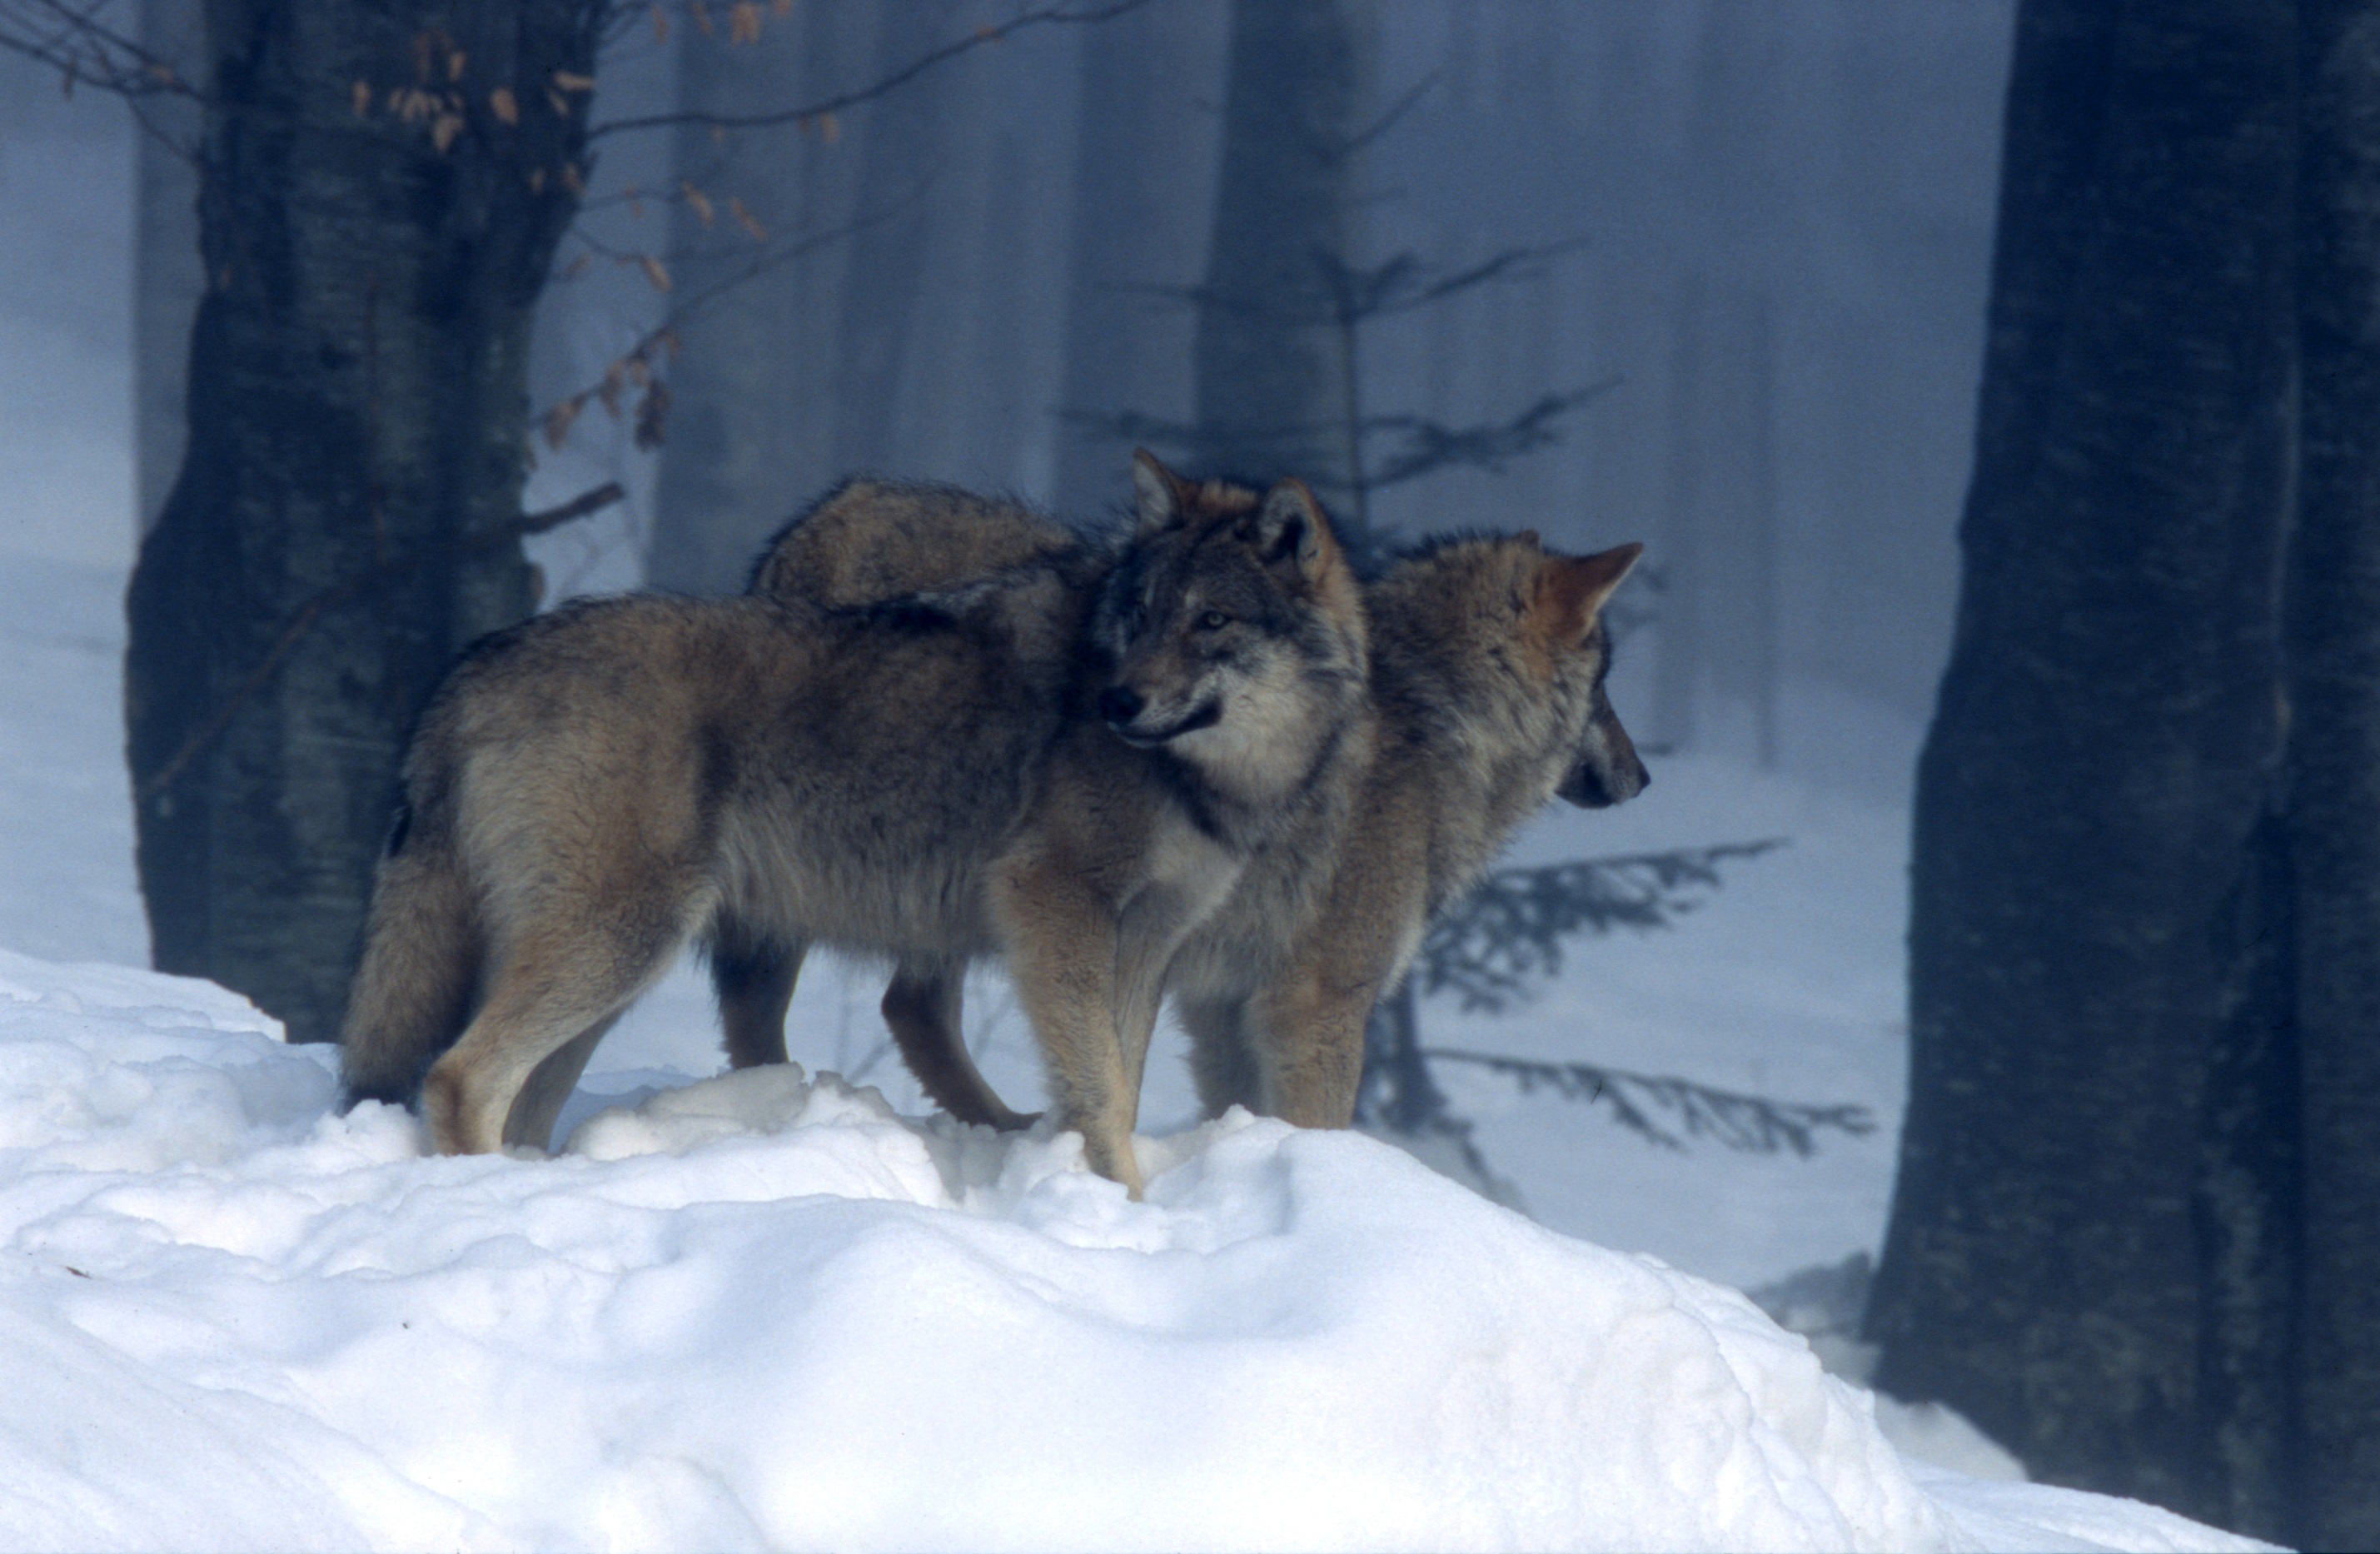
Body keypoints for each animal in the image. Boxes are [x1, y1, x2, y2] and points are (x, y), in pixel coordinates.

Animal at [342, 454, 1371, 1194]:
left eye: (1213, 621)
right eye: (1144, 613)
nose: (1118, 701)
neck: (1211, 780)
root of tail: (475, 665)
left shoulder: (1145, 941)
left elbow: (1117, 1080)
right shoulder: (1054, 909)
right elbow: (1103, 1091)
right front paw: (1125, 1211)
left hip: (613, 970)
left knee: (518, 1094)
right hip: (621, 944)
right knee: (458, 1075)